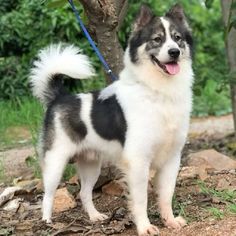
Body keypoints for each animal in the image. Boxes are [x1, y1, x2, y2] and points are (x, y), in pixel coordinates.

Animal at [30, 4, 194, 236]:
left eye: (177, 38)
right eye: (157, 39)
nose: (174, 52)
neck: (157, 91)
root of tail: (60, 96)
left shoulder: (172, 159)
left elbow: (166, 194)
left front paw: (169, 221)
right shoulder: (137, 162)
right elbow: (141, 199)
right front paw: (144, 227)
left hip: (91, 164)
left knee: (84, 193)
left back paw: (94, 217)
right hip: (55, 162)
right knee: (48, 194)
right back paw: (46, 221)